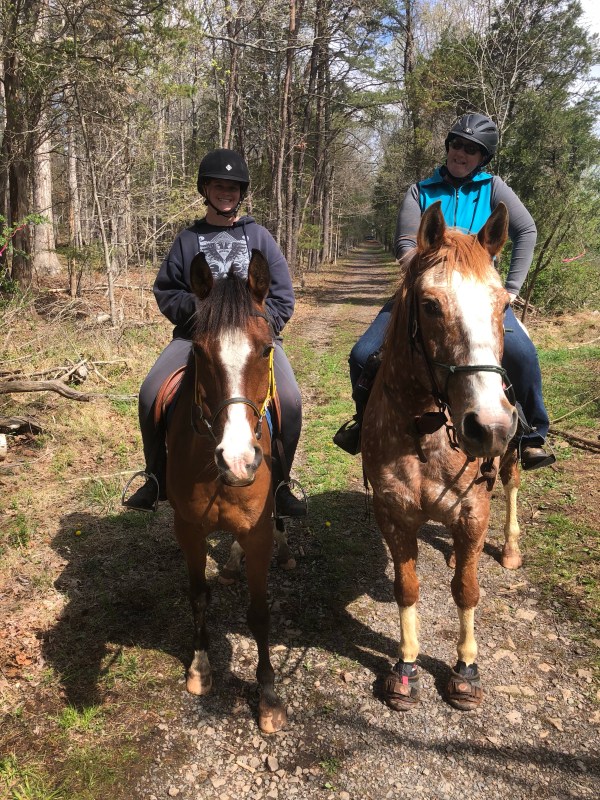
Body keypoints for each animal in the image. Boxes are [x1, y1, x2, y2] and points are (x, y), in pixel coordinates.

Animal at [361, 201, 520, 712]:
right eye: (430, 306)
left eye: (503, 306)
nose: (489, 427)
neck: (428, 429)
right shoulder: (393, 512)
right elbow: (407, 587)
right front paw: (406, 666)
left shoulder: (473, 510)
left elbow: (467, 591)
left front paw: (465, 670)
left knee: (512, 483)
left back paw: (510, 548)